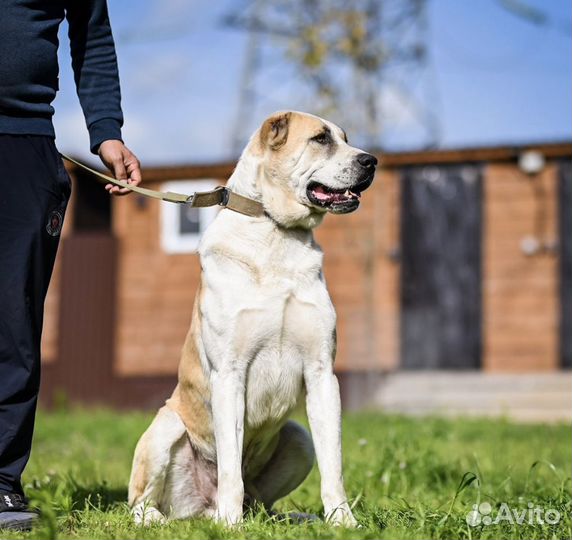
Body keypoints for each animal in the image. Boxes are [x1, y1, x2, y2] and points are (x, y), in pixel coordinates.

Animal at [130, 110, 380, 528]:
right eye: (320, 139)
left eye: (346, 138)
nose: (371, 161)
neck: (277, 234)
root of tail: (202, 509)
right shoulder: (230, 374)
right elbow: (231, 466)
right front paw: (230, 527)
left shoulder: (322, 374)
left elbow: (334, 463)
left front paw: (343, 522)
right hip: (166, 426)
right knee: (141, 501)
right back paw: (170, 520)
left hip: (298, 438)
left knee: (263, 499)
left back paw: (290, 518)